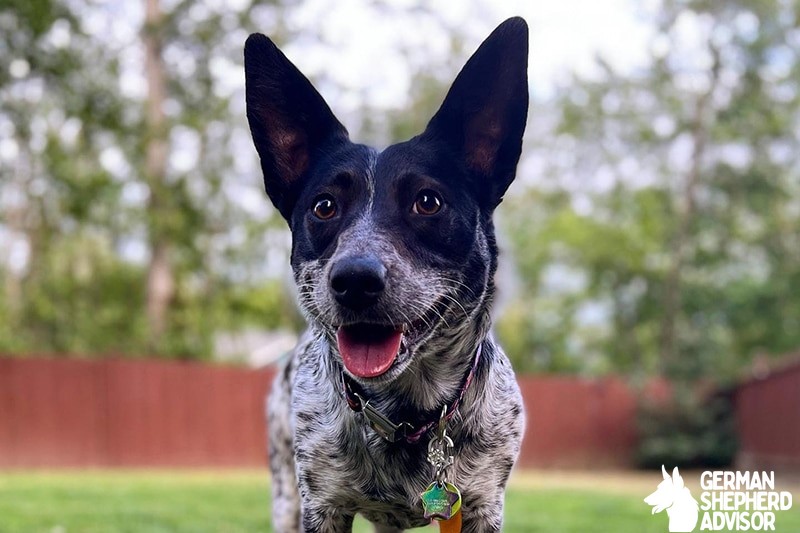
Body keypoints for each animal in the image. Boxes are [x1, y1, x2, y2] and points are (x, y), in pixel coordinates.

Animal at [244, 16, 532, 532]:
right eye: (324, 207)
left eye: (428, 201)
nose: (354, 279)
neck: (409, 418)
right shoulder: (322, 506)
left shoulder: (482, 504)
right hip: (285, 495)